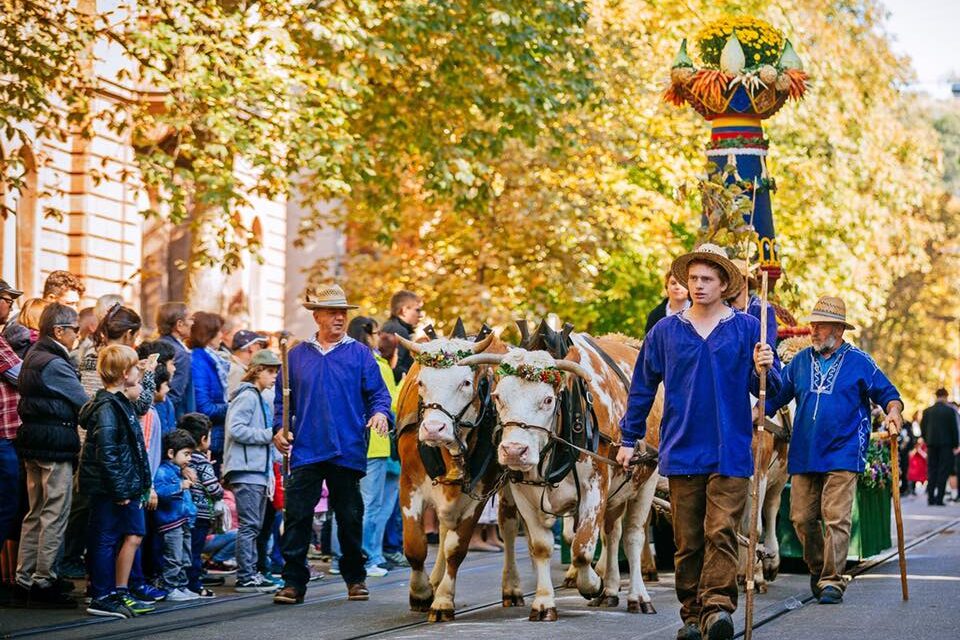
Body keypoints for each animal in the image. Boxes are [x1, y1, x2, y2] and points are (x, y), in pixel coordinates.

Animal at [392, 332, 520, 624]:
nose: (433, 429)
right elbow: (414, 545)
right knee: (442, 527)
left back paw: (512, 588)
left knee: (508, 526)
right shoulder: (409, 484)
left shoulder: (478, 494)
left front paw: (442, 601)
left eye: (465, 382)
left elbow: (456, 548)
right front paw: (421, 593)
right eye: (421, 382)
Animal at [464, 332, 660, 624]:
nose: (514, 451)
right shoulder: (523, 494)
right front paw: (544, 603)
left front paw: (592, 583)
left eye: (547, 400)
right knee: (613, 534)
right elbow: (542, 546)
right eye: (498, 397)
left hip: (647, 479)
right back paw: (611, 590)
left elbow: (582, 547)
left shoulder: (595, 488)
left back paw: (638, 596)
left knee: (633, 536)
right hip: (617, 495)